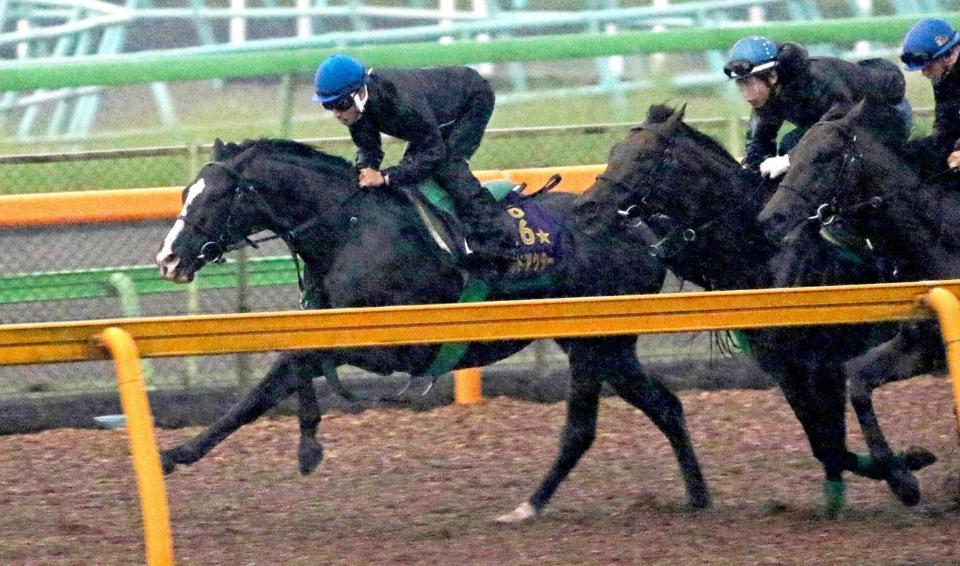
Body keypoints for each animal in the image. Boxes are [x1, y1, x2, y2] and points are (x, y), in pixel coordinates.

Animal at [156, 138, 712, 524]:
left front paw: (308, 446)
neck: (349, 231)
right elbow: (263, 389)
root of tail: (644, 229)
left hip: (601, 344)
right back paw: (693, 496)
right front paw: (175, 455)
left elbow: (297, 363)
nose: (167, 258)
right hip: (598, 345)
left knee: (592, 426)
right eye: (184, 192)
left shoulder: (397, 346)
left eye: (216, 196)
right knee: (654, 408)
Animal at [572, 104, 932, 516]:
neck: (763, 253)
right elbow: (824, 445)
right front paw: (890, 476)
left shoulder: (823, 363)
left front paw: (906, 476)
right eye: (613, 151)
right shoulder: (785, 368)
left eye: (644, 156)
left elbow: (833, 440)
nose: (584, 208)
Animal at [752, 95, 956, 508]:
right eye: (793, 155)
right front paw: (903, 480)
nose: (770, 219)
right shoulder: (921, 344)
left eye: (825, 156)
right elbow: (859, 382)